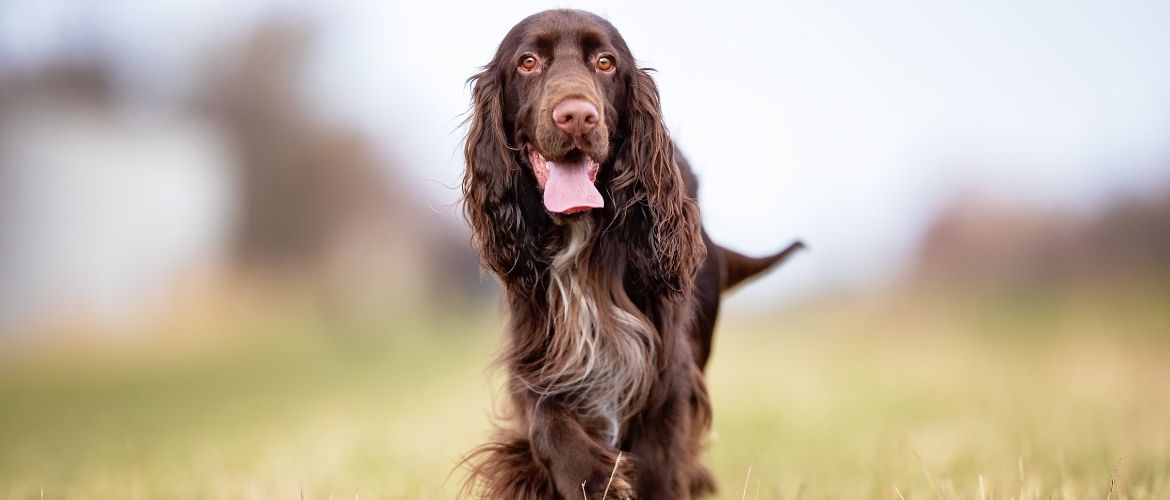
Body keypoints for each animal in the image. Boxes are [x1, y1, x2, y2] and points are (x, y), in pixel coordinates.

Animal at [456, 9, 804, 498]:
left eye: (605, 62)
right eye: (528, 62)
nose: (577, 116)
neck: (581, 238)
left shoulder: (667, 373)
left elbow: (662, 463)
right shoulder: (539, 353)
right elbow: (545, 421)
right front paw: (593, 476)